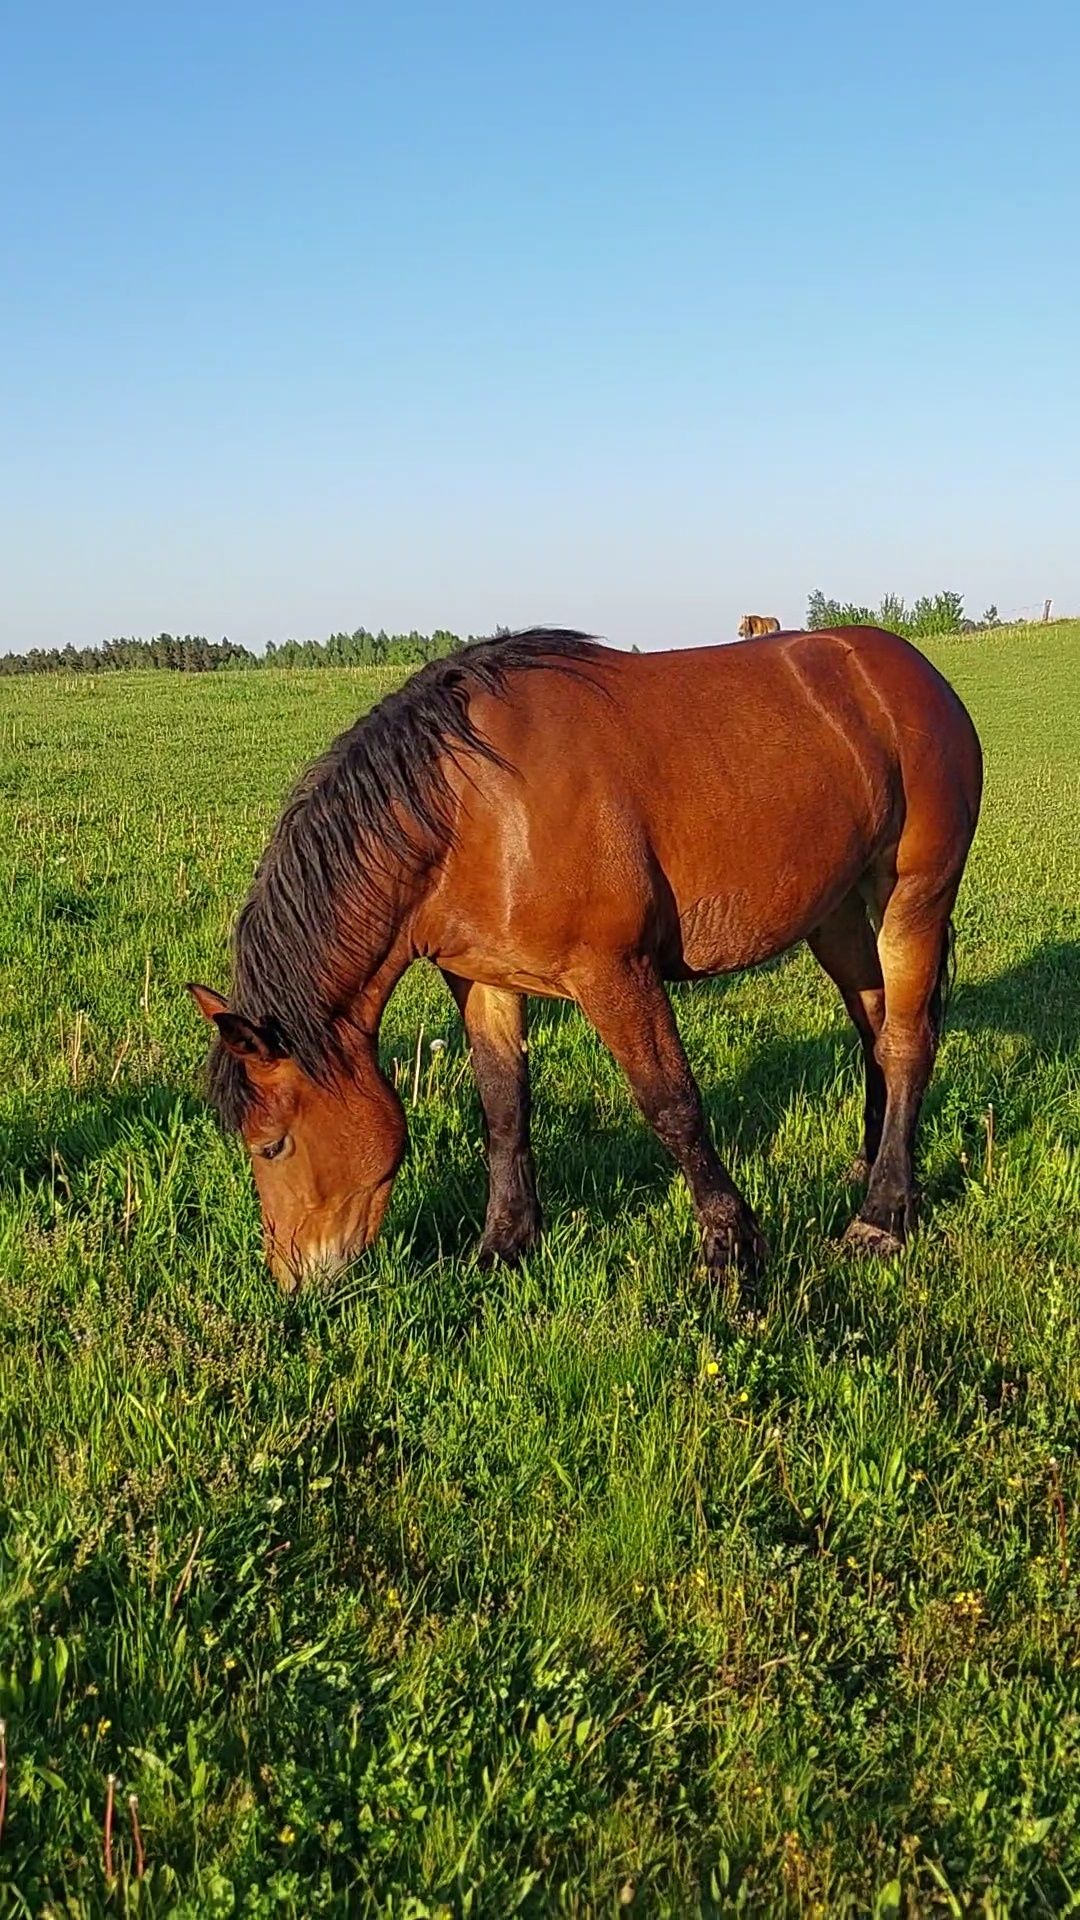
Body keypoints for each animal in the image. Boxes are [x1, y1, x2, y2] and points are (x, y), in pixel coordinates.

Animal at [189, 629, 980, 1290]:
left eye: (272, 1147)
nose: (294, 1280)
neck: (473, 811)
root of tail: (908, 669)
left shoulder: (615, 974)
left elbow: (672, 1105)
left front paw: (730, 1248)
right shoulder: (482, 981)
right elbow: (503, 1106)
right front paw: (505, 1243)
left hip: (915, 897)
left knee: (907, 1042)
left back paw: (882, 1214)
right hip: (836, 912)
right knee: (873, 1026)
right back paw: (873, 1163)